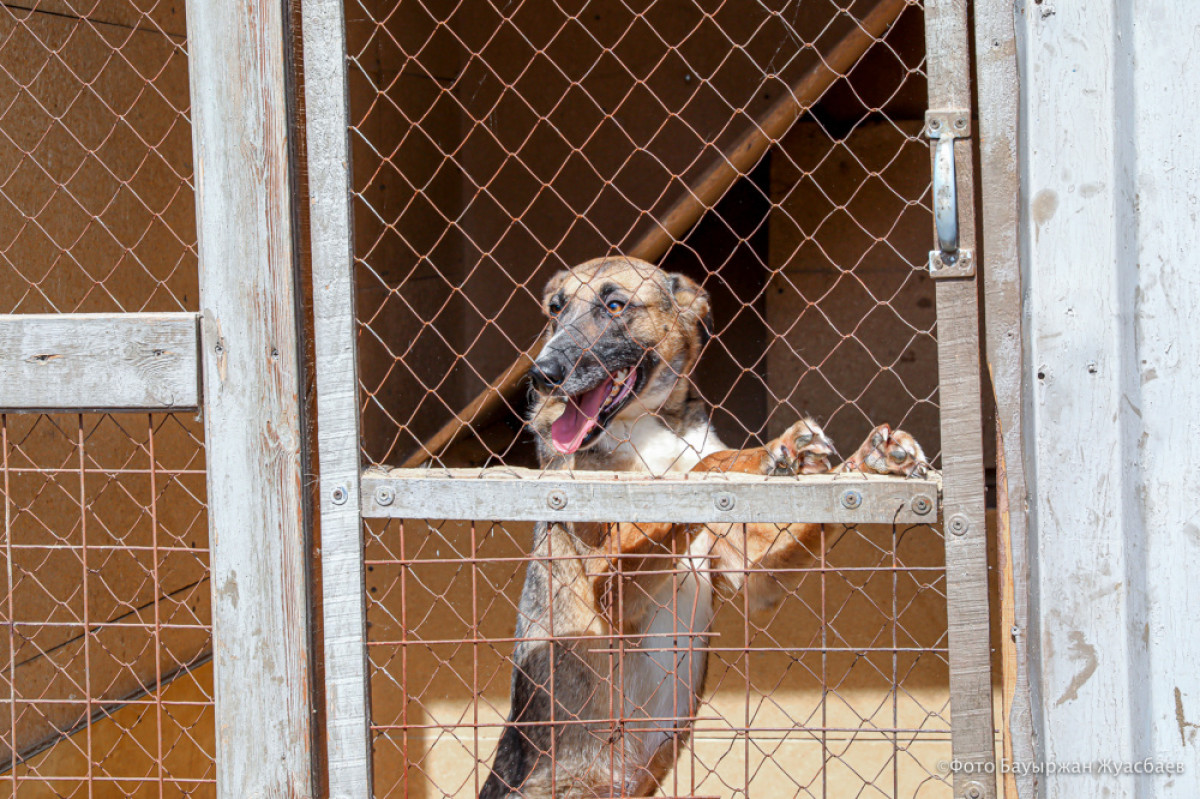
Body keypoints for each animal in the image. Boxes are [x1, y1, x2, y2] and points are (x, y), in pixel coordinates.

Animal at [477, 256, 926, 796]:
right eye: (555, 310)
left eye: (615, 305)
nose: (542, 374)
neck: (647, 427)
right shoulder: (611, 586)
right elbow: (700, 468)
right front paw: (764, 452)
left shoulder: (749, 570)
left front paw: (868, 460)